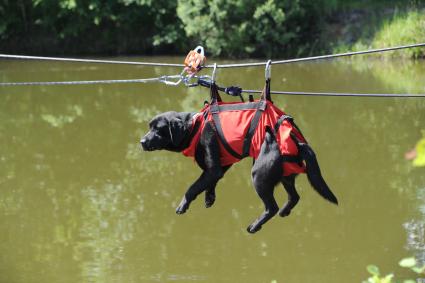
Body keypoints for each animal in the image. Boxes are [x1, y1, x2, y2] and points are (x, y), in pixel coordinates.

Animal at [141, 111, 336, 233]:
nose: (142, 141)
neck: (195, 126)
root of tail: (299, 143)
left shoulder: (213, 165)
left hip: (259, 175)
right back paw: (284, 212)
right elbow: (209, 182)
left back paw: (255, 226)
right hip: (285, 175)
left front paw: (183, 205)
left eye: (158, 129)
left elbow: (192, 188)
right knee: (294, 196)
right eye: (149, 127)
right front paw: (209, 198)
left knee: (271, 207)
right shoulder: (220, 166)